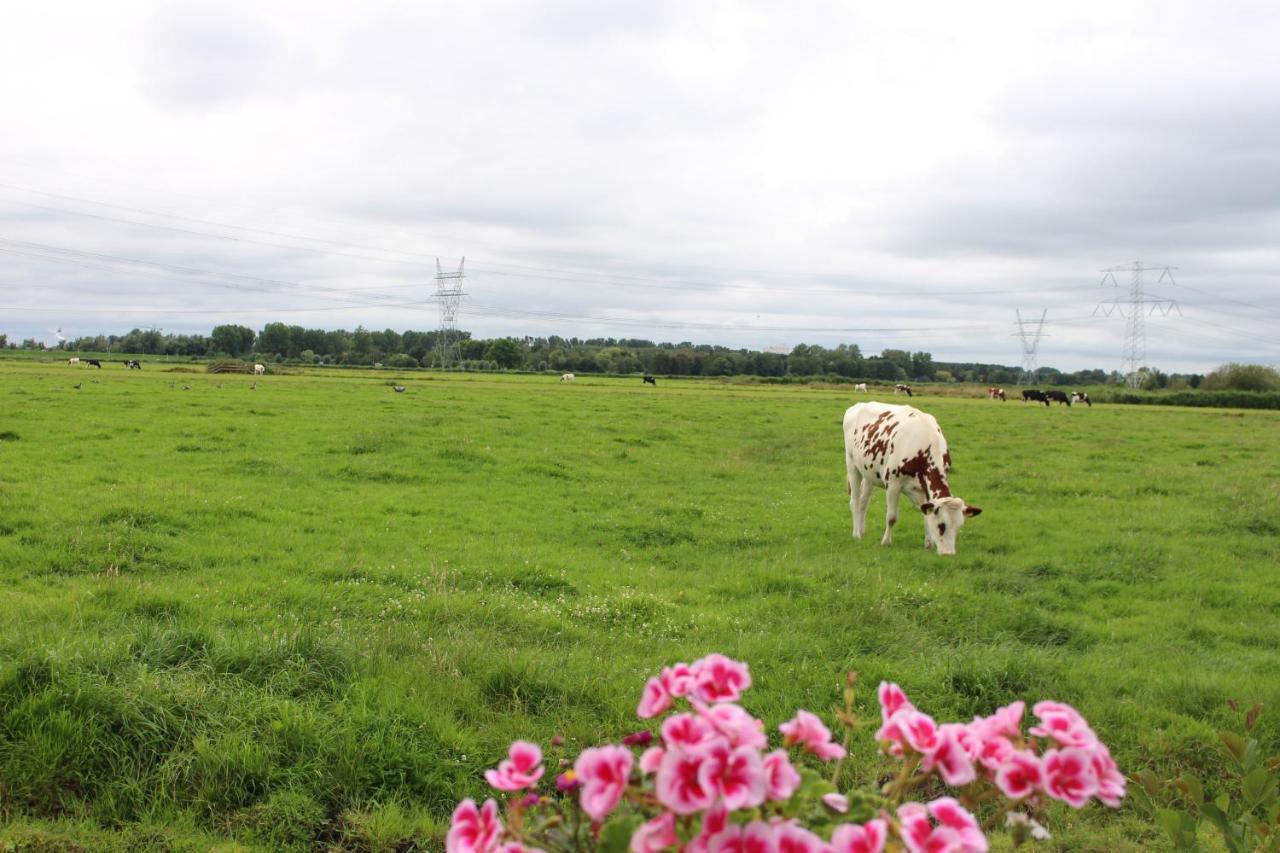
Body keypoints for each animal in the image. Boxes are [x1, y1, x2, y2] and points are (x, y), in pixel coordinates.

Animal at [844, 402, 983, 555]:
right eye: (941, 525)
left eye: (959, 527)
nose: (949, 554)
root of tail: (858, 405)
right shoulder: (893, 484)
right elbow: (891, 517)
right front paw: (886, 542)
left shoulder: (923, 489)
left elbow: (926, 515)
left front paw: (928, 544)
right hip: (852, 465)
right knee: (855, 501)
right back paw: (856, 534)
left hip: (869, 473)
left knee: (863, 502)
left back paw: (862, 531)